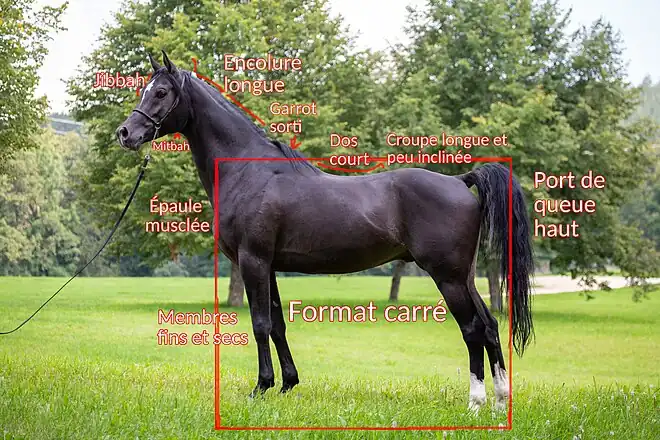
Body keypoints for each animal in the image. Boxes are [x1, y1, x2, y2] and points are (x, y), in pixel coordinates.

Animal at [116, 52, 534, 413]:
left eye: (160, 92)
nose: (125, 133)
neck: (248, 170)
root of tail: (460, 180)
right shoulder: (268, 265)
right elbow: (278, 324)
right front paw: (287, 383)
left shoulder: (253, 261)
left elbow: (260, 324)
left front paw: (261, 387)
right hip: (465, 276)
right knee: (491, 326)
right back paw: (500, 401)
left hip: (447, 276)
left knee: (472, 329)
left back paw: (476, 402)